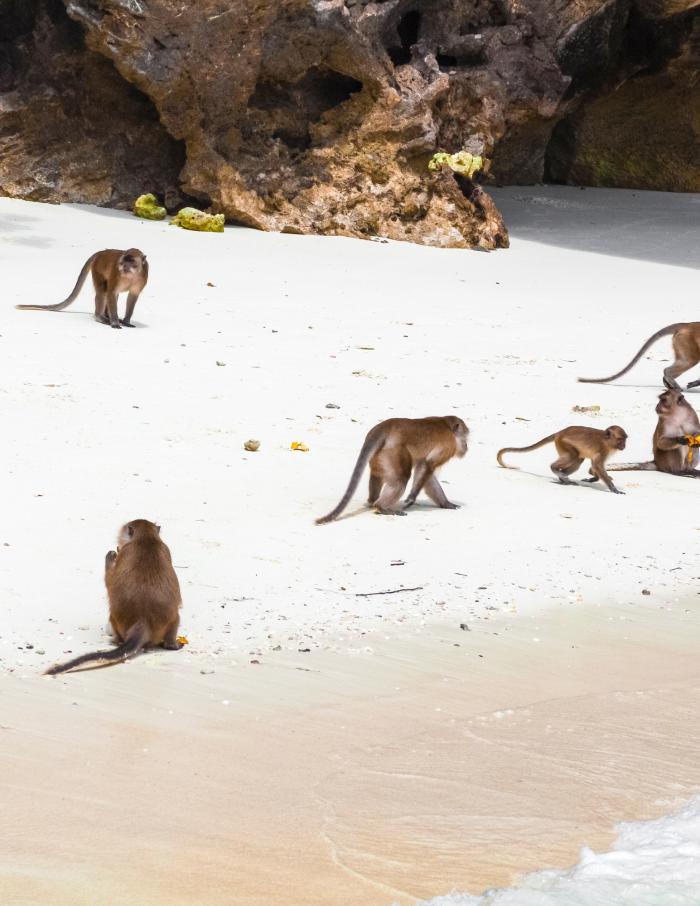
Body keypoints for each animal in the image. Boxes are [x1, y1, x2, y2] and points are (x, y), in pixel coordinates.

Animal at [16, 248, 148, 329]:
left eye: (131, 262)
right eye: (122, 262)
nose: (124, 267)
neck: (131, 276)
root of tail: (101, 252)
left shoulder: (143, 277)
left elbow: (132, 297)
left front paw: (126, 321)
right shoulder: (116, 274)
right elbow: (111, 293)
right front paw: (115, 322)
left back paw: (106, 316)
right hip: (97, 268)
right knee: (103, 292)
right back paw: (100, 317)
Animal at [45, 519, 183, 675]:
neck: (146, 538)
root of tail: (143, 622)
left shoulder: (125, 551)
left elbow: (109, 580)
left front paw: (110, 557)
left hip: (117, 620)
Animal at [316, 416, 469, 524]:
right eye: (465, 438)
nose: (466, 447)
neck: (447, 425)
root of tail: (381, 428)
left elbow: (425, 472)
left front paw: (446, 503)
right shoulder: (448, 445)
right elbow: (427, 465)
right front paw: (411, 499)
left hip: (379, 455)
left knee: (377, 475)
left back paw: (372, 501)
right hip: (392, 452)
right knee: (401, 478)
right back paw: (381, 506)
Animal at [497, 425, 628, 494]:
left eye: (625, 439)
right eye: (620, 440)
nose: (624, 446)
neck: (606, 441)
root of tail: (560, 432)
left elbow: (594, 466)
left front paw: (593, 478)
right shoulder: (603, 450)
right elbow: (597, 465)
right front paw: (613, 489)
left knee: (578, 459)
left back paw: (563, 478)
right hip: (563, 443)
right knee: (574, 457)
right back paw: (556, 470)